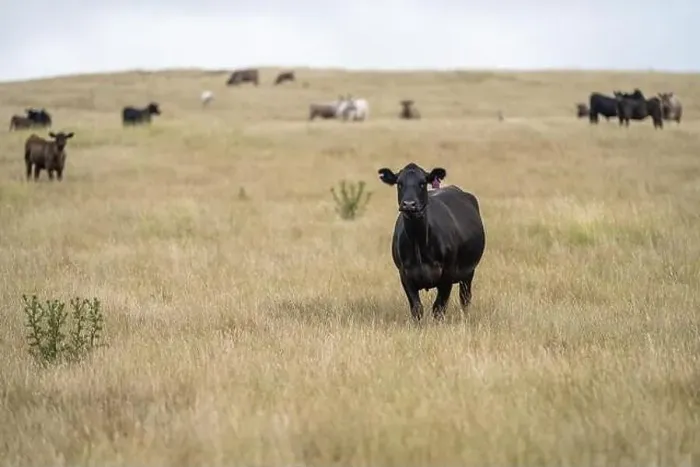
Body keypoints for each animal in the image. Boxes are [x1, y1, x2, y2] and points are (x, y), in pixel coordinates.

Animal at [377, 163, 486, 321]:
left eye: (422, 183)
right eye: (399, 183)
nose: (409, 204)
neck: (419, 243)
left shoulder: (448, 273)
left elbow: (439, 308)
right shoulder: (405, 274)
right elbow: (417, 308)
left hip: (469, 272)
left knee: (465, 298)